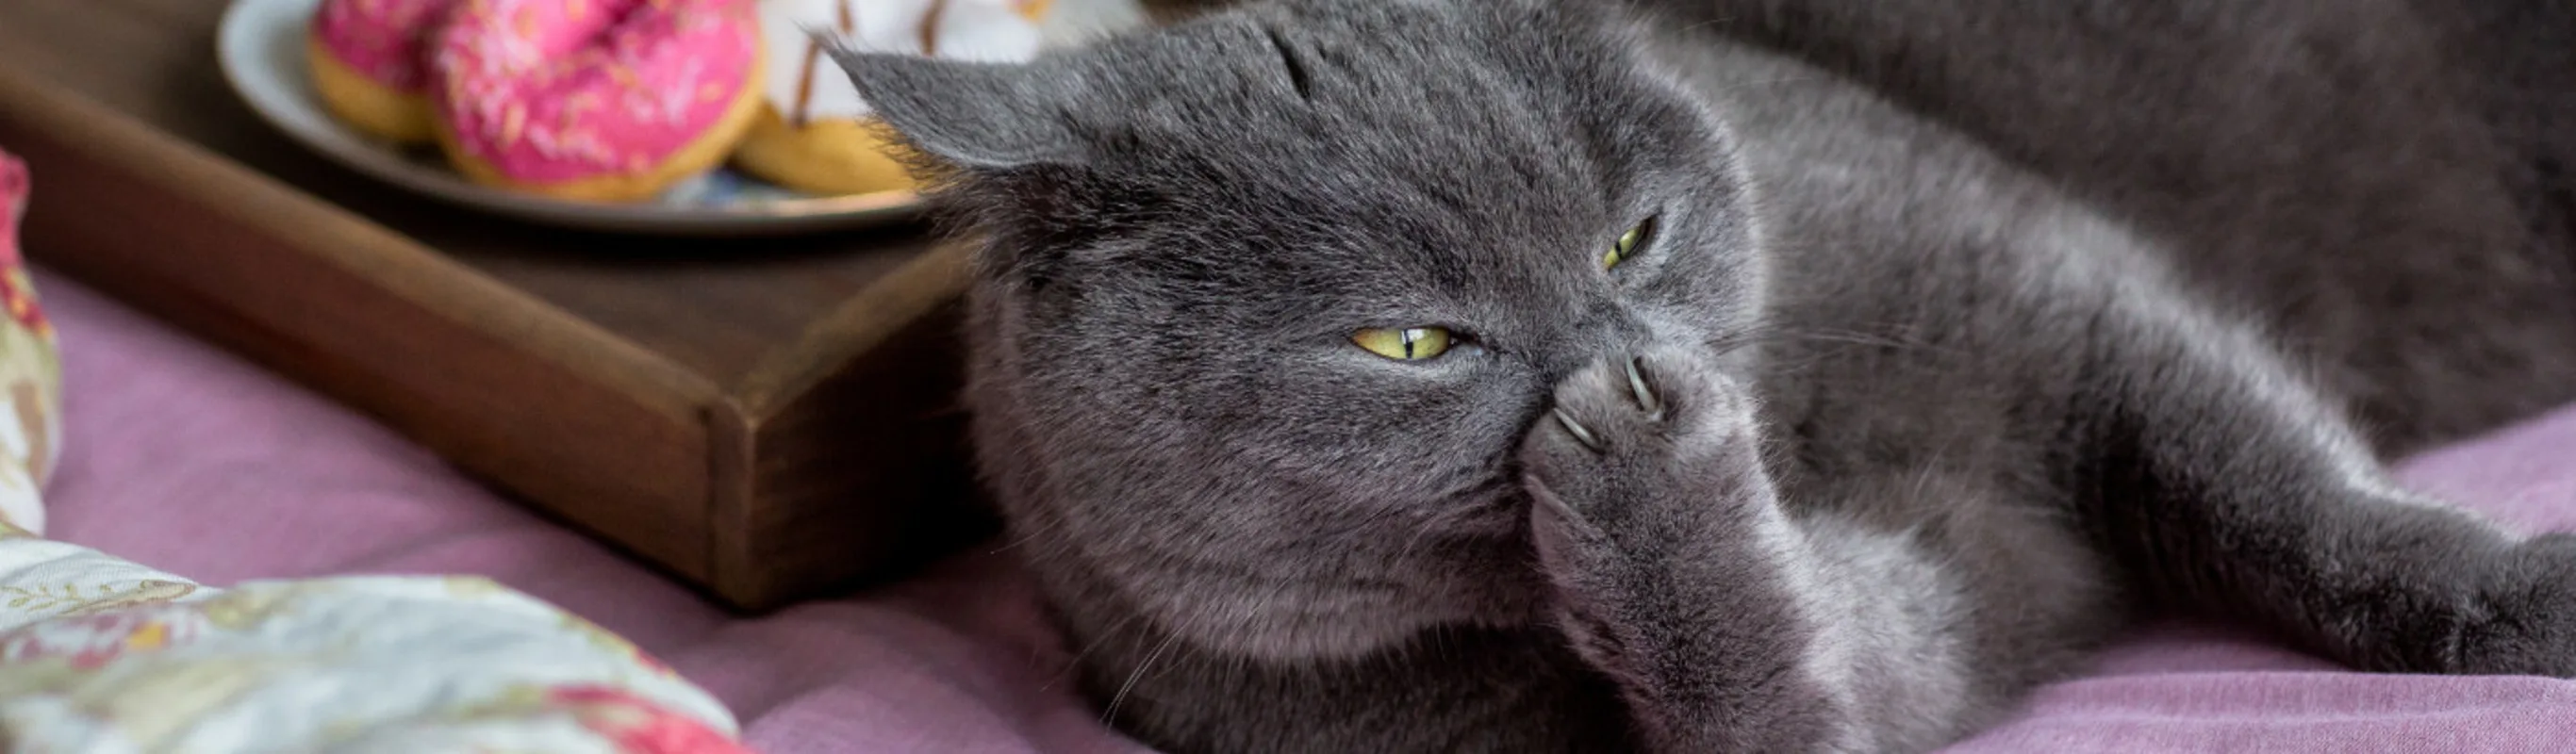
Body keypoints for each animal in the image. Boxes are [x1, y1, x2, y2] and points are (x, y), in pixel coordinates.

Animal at [824, 0, 2576, 746]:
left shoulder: (2060, 286)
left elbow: (2280, 484)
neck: (1799, 446)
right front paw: (1659, 509)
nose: (1629, 363)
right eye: (1411, 342)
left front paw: (2522, 606)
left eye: (1630, 238)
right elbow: (1809, 684)